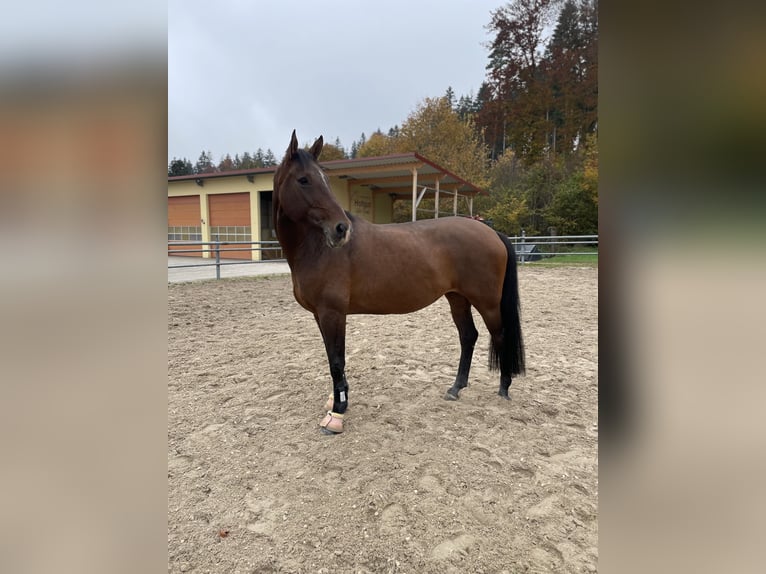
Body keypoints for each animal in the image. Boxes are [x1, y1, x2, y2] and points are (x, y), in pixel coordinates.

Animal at [273, 130, 525, 434]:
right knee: (468, 336)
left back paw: (503, 388)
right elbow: (332, 359)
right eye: (304, 179)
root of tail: (491, 231)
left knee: (499, 335)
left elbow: (336, 360)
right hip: (457, 298)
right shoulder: (319, 315)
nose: (341, 229)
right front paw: (335, 401)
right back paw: (455, 388)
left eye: (325, 179)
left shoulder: (332, 313)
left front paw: (337, 414)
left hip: (487, 302)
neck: (316, 248)